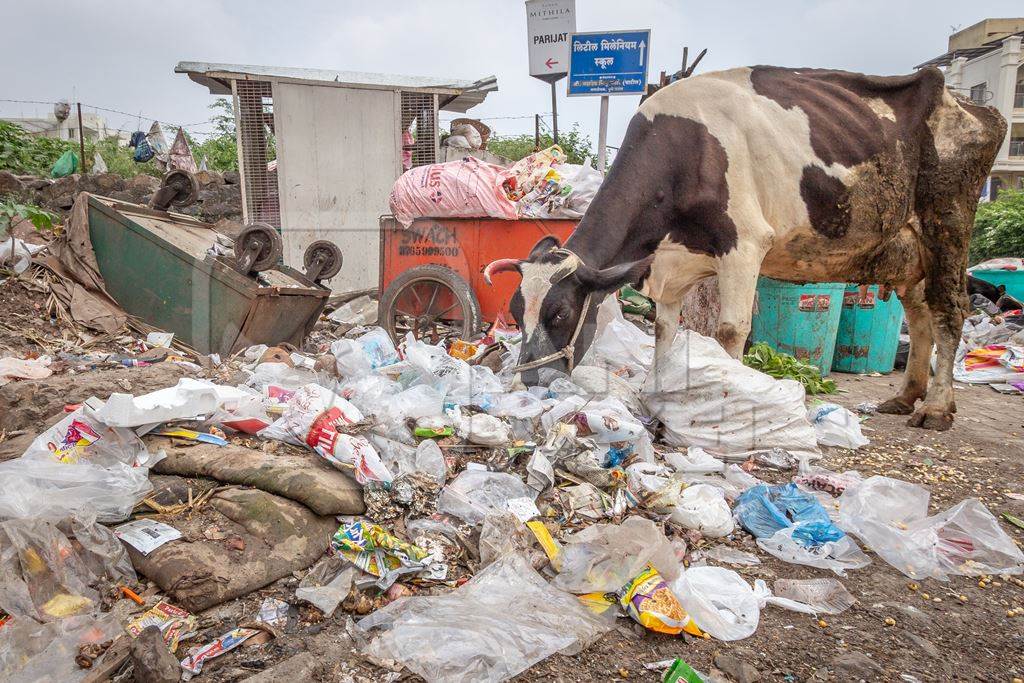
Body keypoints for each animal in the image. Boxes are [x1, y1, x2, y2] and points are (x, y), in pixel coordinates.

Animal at [483, 68, 1003, 432]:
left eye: (561, 314)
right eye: (516, 311)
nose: (531, 381)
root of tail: (971, 104)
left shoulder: (745, 243)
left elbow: (731, 331)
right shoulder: (669, 268)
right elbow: (665, 333)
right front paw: (657, 395)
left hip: (948, 220)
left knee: (948, 310)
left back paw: (936, 408)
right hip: (906, 247)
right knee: (919, 313)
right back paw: (906, 396)